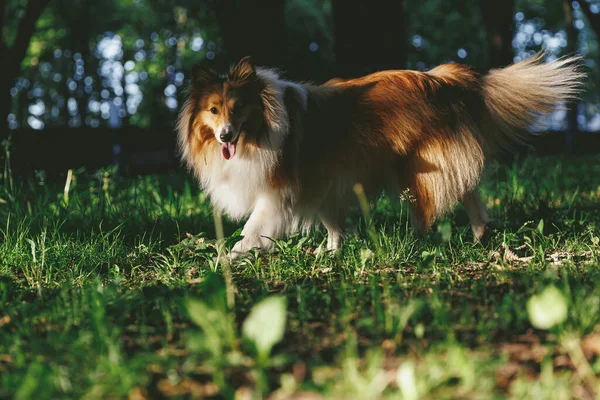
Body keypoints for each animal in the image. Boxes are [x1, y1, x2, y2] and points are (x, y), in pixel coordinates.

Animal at [176, 53, 584, 258]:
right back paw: (481, 233)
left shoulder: (277, 193)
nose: (225, 135)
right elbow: (333, 222)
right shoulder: (323, 182)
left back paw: (418, 241)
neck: (260, 129)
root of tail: (441, 79)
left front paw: (229, 257)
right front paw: (331, 252)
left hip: (416, 167)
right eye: (213, 110)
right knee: (470, 191)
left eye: (237, 108)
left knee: (435, 204)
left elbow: (253, 228)